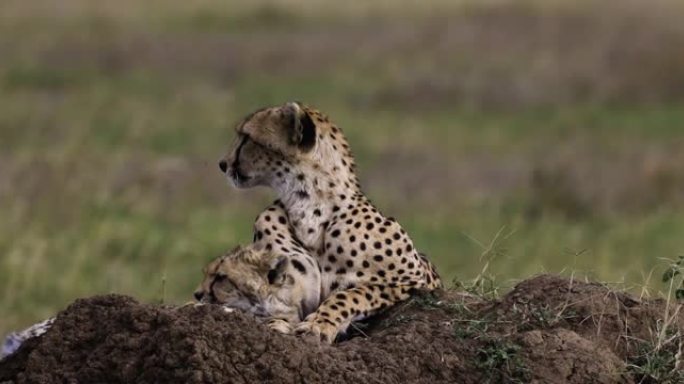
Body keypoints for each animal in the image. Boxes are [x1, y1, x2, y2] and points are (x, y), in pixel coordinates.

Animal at [219, 102, 444, 342]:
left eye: (246, 137)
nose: (222, 164)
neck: (309, 209)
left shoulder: (413, 280)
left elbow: (353, 294)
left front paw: (318, 324)